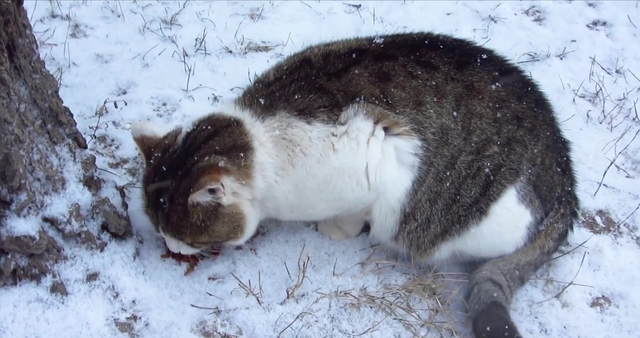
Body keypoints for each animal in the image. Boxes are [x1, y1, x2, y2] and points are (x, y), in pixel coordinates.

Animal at [131, 31, 580, 338]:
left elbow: (356, 210)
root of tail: (565, 179)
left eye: (183, 235)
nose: (172, 249)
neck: (261, 134)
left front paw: (336, 229)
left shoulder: (379, 156)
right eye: (160, 230)